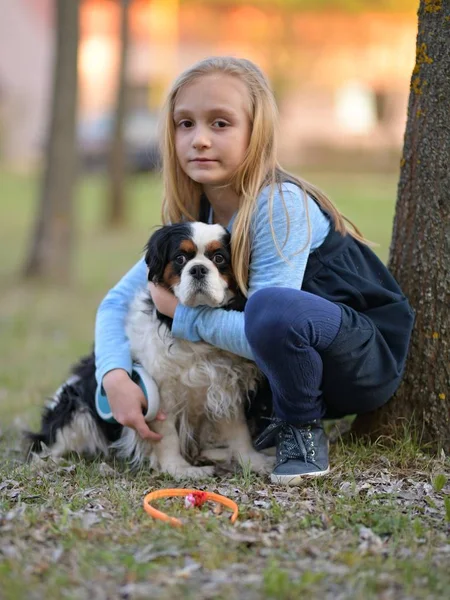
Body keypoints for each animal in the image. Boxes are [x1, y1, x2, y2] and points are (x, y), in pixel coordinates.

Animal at [29, 223, 274, 480]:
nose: (198, 269)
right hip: (75, 409)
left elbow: (237, 429)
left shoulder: (224, 384)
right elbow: (167, 435)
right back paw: (47, 463)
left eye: (219, 258)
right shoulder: (159, 392)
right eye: (180, 258)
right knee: (45, 444)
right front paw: (178, 469)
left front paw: (252, 460)